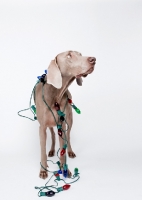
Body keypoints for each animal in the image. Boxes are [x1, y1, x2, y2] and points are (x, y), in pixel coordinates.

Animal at [34, 50, 95, 179]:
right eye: (69, 55)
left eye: (80, 54)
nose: (93, 59)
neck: (56, 94)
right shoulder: (42, 127)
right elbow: (42, 150)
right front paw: (43, 170)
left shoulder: (62, 124)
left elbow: (62, 149)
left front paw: (64, 169)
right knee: (52, 134)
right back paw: (51, 150)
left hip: (69, 119)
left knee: (68, 136)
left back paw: (70, 151)